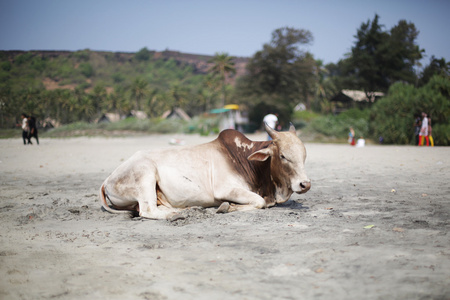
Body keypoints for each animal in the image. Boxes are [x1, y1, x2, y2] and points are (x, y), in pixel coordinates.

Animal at [99, 123, 312, 219]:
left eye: (304, 155)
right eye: (283, 156)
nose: (305, 184)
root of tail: (107, 180)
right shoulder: (225, 189)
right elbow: (259, 202)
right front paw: (227, 207)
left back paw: (188, 209)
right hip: (145, 173)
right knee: (147, 210)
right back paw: (176, 215)